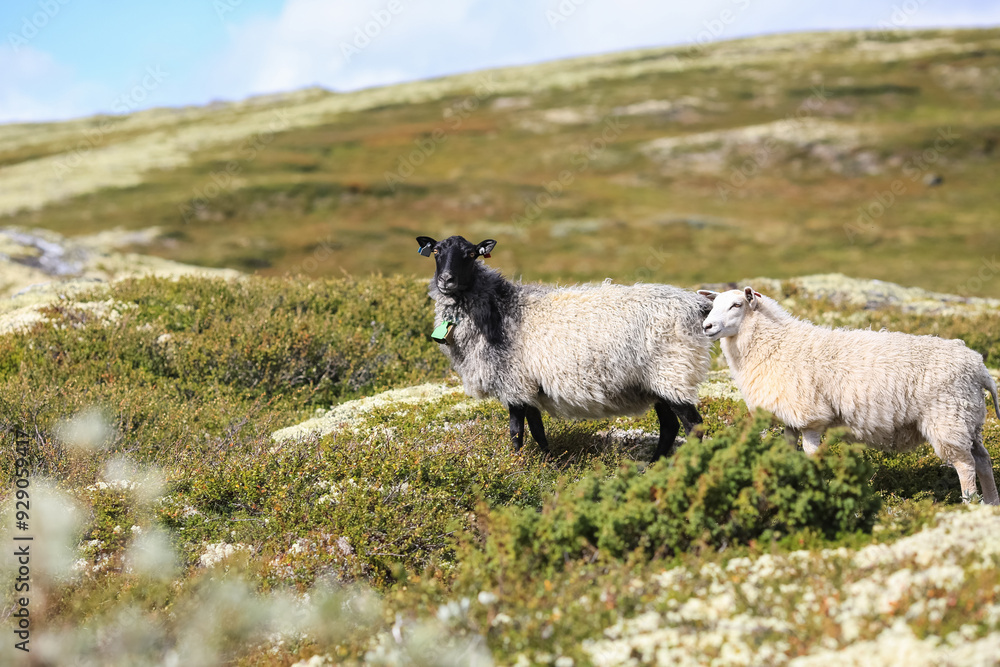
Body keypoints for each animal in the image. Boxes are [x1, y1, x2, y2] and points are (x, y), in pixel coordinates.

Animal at [700, 288, 996, 506]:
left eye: (736, 305)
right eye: (712, 305)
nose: (707, 326)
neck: (777, 344)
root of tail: (977, 364)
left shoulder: (811, 416)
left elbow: (810, 455)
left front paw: (814, 489)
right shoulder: (790, 416)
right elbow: (788, 453)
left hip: (947, 417)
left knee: (965, 464)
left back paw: (969, 503)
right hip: (968, 417)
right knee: (983, 459)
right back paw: (991, 504)